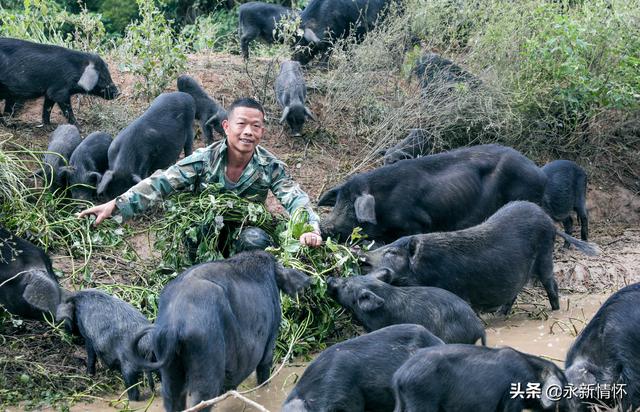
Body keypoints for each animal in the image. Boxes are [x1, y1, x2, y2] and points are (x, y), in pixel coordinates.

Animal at [364, 201, 600, 314]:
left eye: (392, 252)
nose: (363, 256)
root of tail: (549, 221)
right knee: (514, 292)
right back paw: (500, 314)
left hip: (544, 258)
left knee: (552, 285)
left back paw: (555, 311)